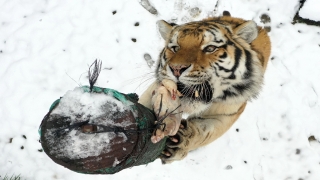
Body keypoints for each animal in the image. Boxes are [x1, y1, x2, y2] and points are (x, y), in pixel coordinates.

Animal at [139, 10, 272, 164]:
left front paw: (180, 143)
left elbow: (206, 132)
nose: (176, 68)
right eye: (175, 48)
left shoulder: (229, 112)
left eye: (210, 48)